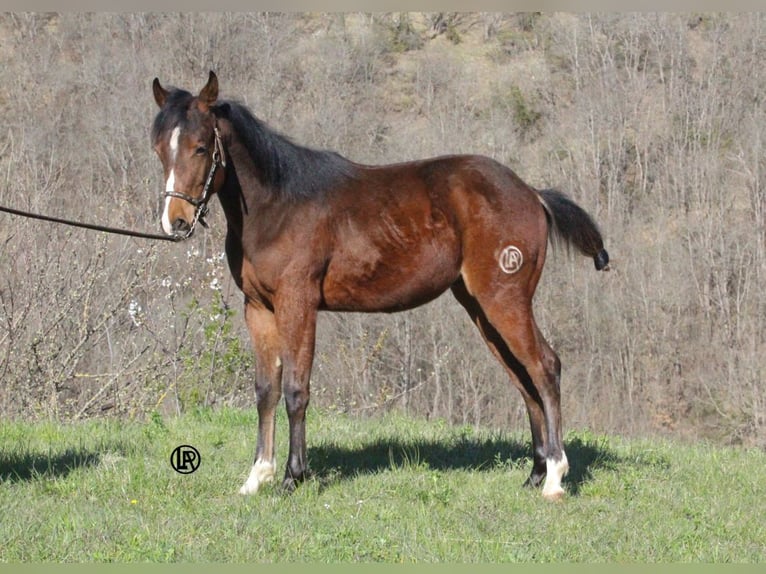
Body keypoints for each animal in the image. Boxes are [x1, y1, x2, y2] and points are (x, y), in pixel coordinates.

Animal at [150, 71, 609, 501]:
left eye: (200, 147)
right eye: (159, 149)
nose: (176, 223)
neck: (278, 205)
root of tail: (532, 193)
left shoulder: (297, 303)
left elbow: (296, 388)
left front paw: (292, 477)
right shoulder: (258, 308)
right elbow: (266, 390)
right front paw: (256, 477)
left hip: (505, 300)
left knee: (545, 367)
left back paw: (555, 478)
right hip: (481, 307)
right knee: (523, 378)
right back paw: (534, 474)